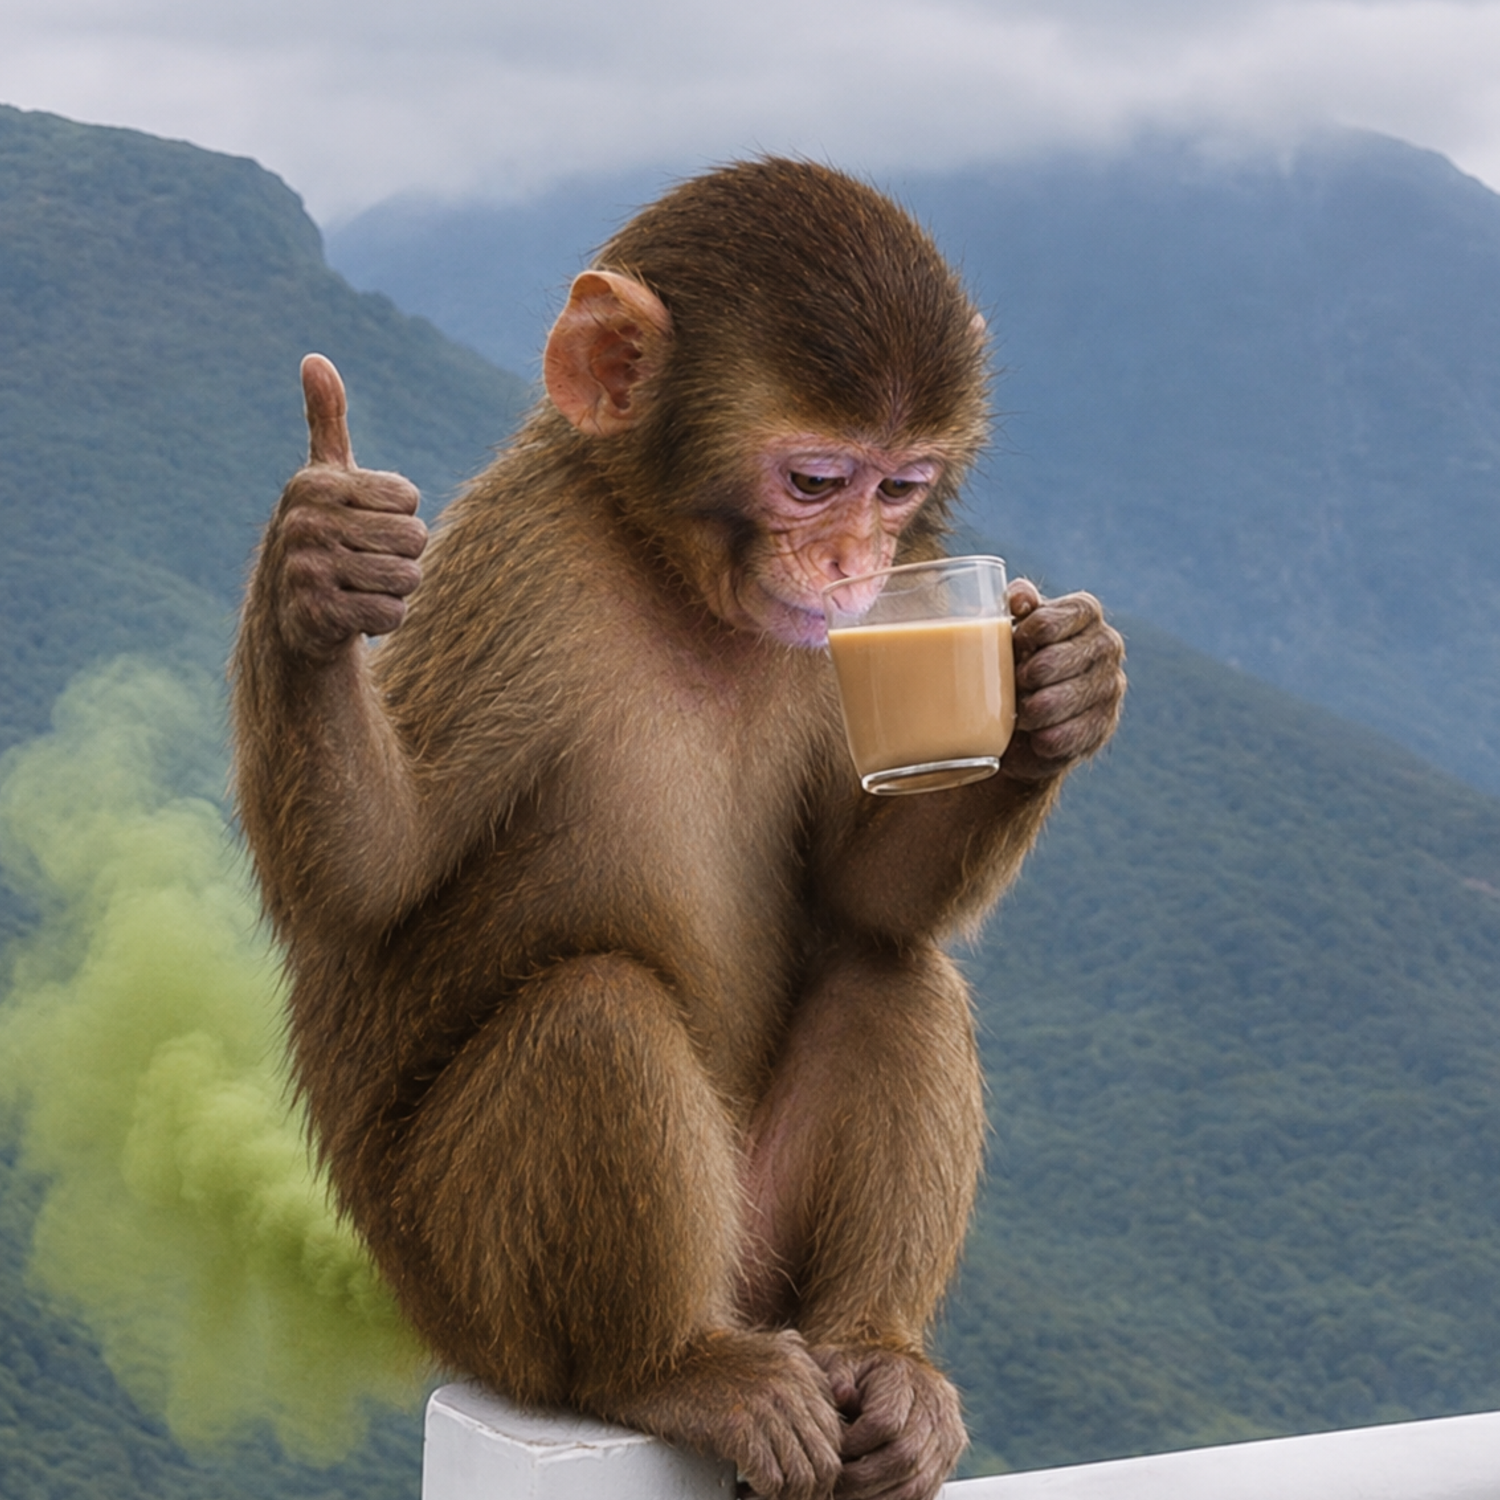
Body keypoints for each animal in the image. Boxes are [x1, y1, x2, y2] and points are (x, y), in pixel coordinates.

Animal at [231, 159, 1125, 1500]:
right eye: (814, 482)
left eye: (901, 489)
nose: (857, 566)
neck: (672, 573)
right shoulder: (524, 560)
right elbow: (368, 882)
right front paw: (320, 571)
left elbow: (866, 900)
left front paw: (1059, 688)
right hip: (475, 1286)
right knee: (595, 1013)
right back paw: (661, 1369)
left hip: (768, 1253)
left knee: (892, 972)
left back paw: (879, 1356)